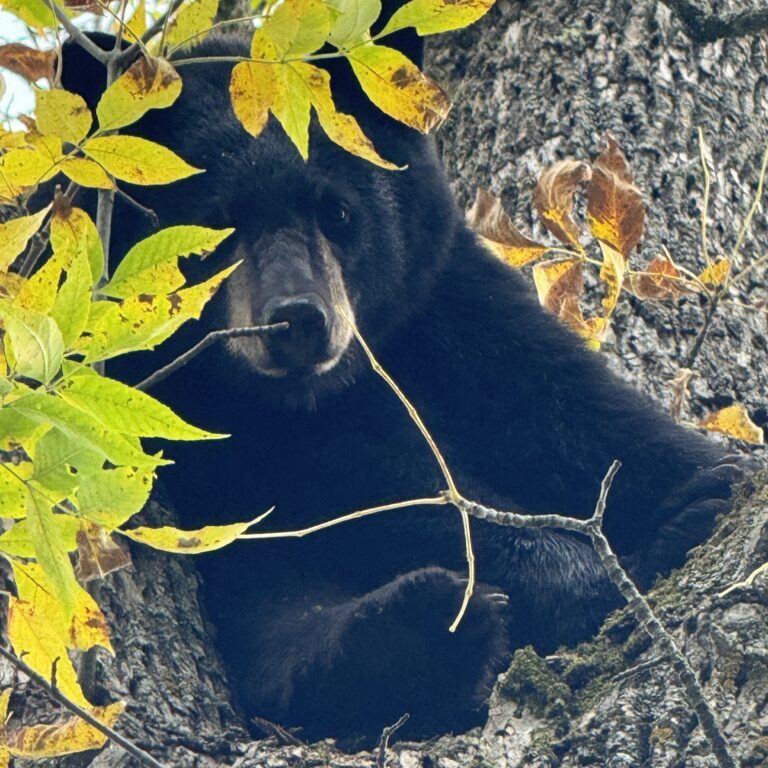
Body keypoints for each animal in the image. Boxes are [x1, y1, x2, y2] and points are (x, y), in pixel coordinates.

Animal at [63, 18, 748, 748]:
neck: (316, 396)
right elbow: (377, 488)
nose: (298, 320)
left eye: (337, 211)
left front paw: (710, 484)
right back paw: (417, 631)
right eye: (216, 226)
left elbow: (574, 409)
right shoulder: (206, 422)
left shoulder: (449, 304)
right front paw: (613, 568)